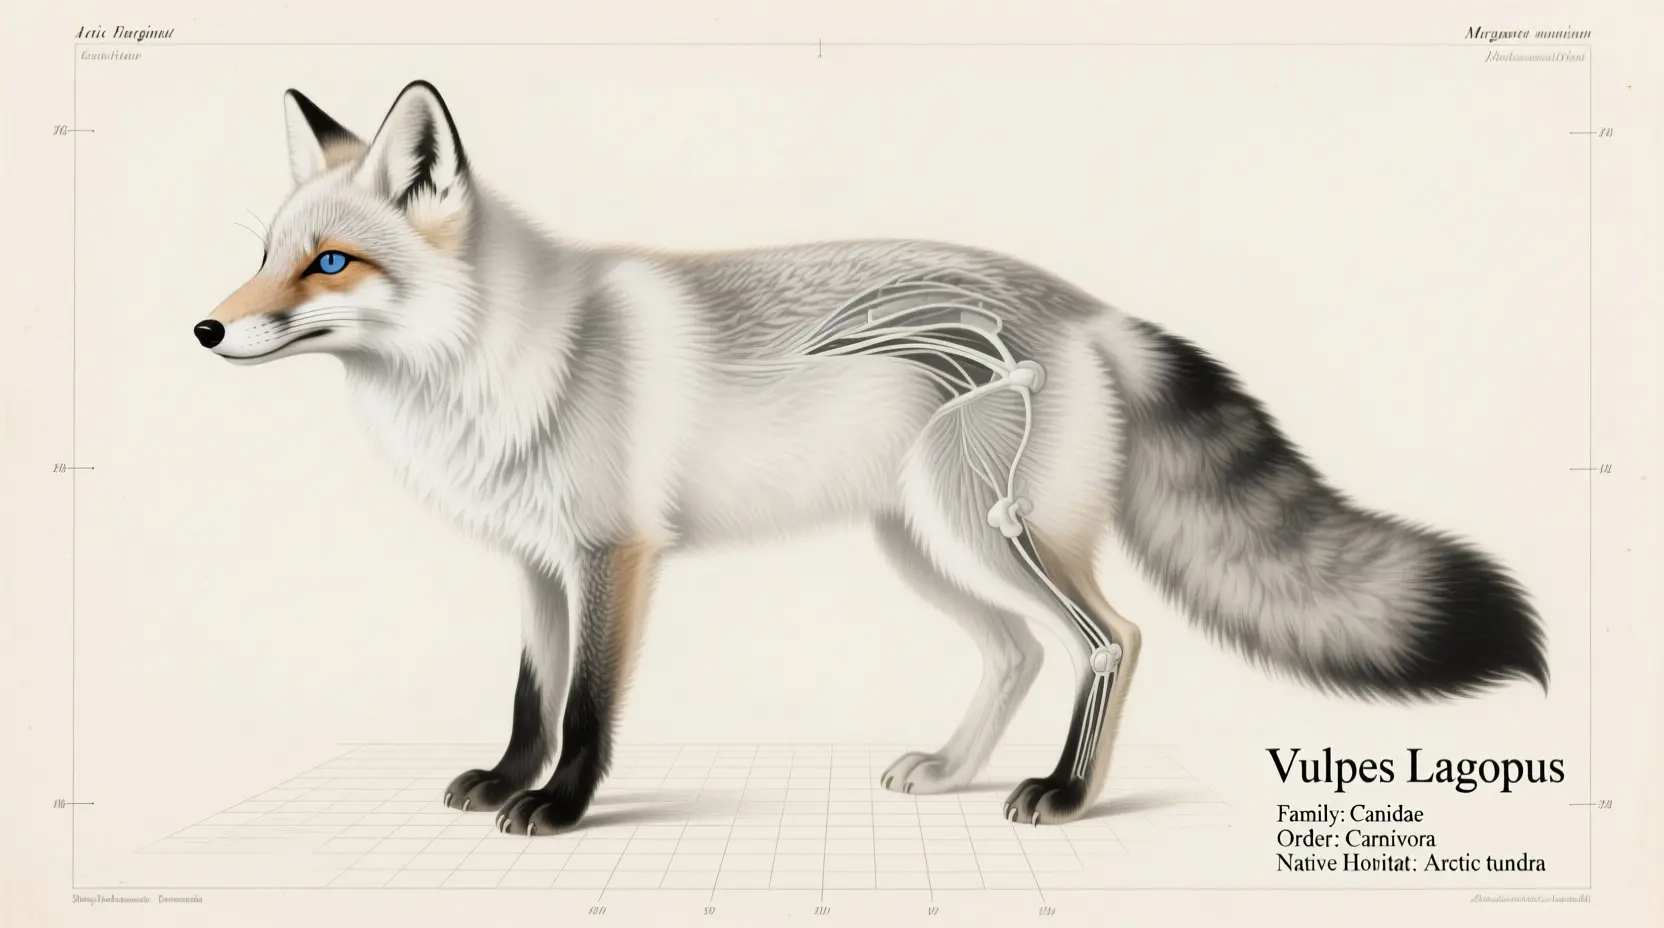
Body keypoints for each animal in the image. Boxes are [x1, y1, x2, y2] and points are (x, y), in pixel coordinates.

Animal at [195, 80, 1547, 835]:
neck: (509, 356)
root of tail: (1091, 305)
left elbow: (584, 709)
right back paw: (952, 769)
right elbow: (531, 698)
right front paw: (500, 777)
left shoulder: (612, 554)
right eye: (264, 254)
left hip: (988, 531)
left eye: (329, 263)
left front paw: (561, 808)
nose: (204, 329)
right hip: (925, 546)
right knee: (1015, 654)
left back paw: (1066, 794)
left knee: (1109, 639)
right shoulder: (535, 565)